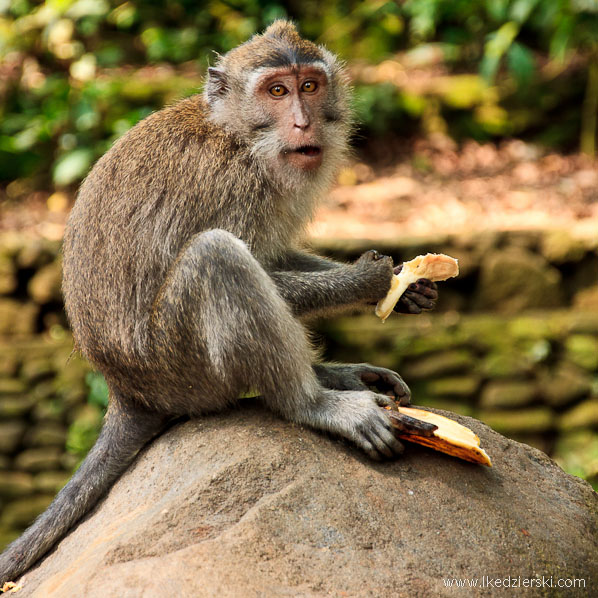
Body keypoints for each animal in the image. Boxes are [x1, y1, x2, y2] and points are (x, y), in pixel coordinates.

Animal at [0, 19, 440, 584]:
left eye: (309, 86)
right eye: (276, 92)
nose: (303, 124)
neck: (240, 137)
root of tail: (125, 392)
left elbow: (275, 254)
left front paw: (408, 287)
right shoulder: (237, 185)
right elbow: (252, 260)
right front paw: (368, 281)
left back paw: (334, 376)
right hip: (178, 367)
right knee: (217, 257)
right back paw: (315, 403)